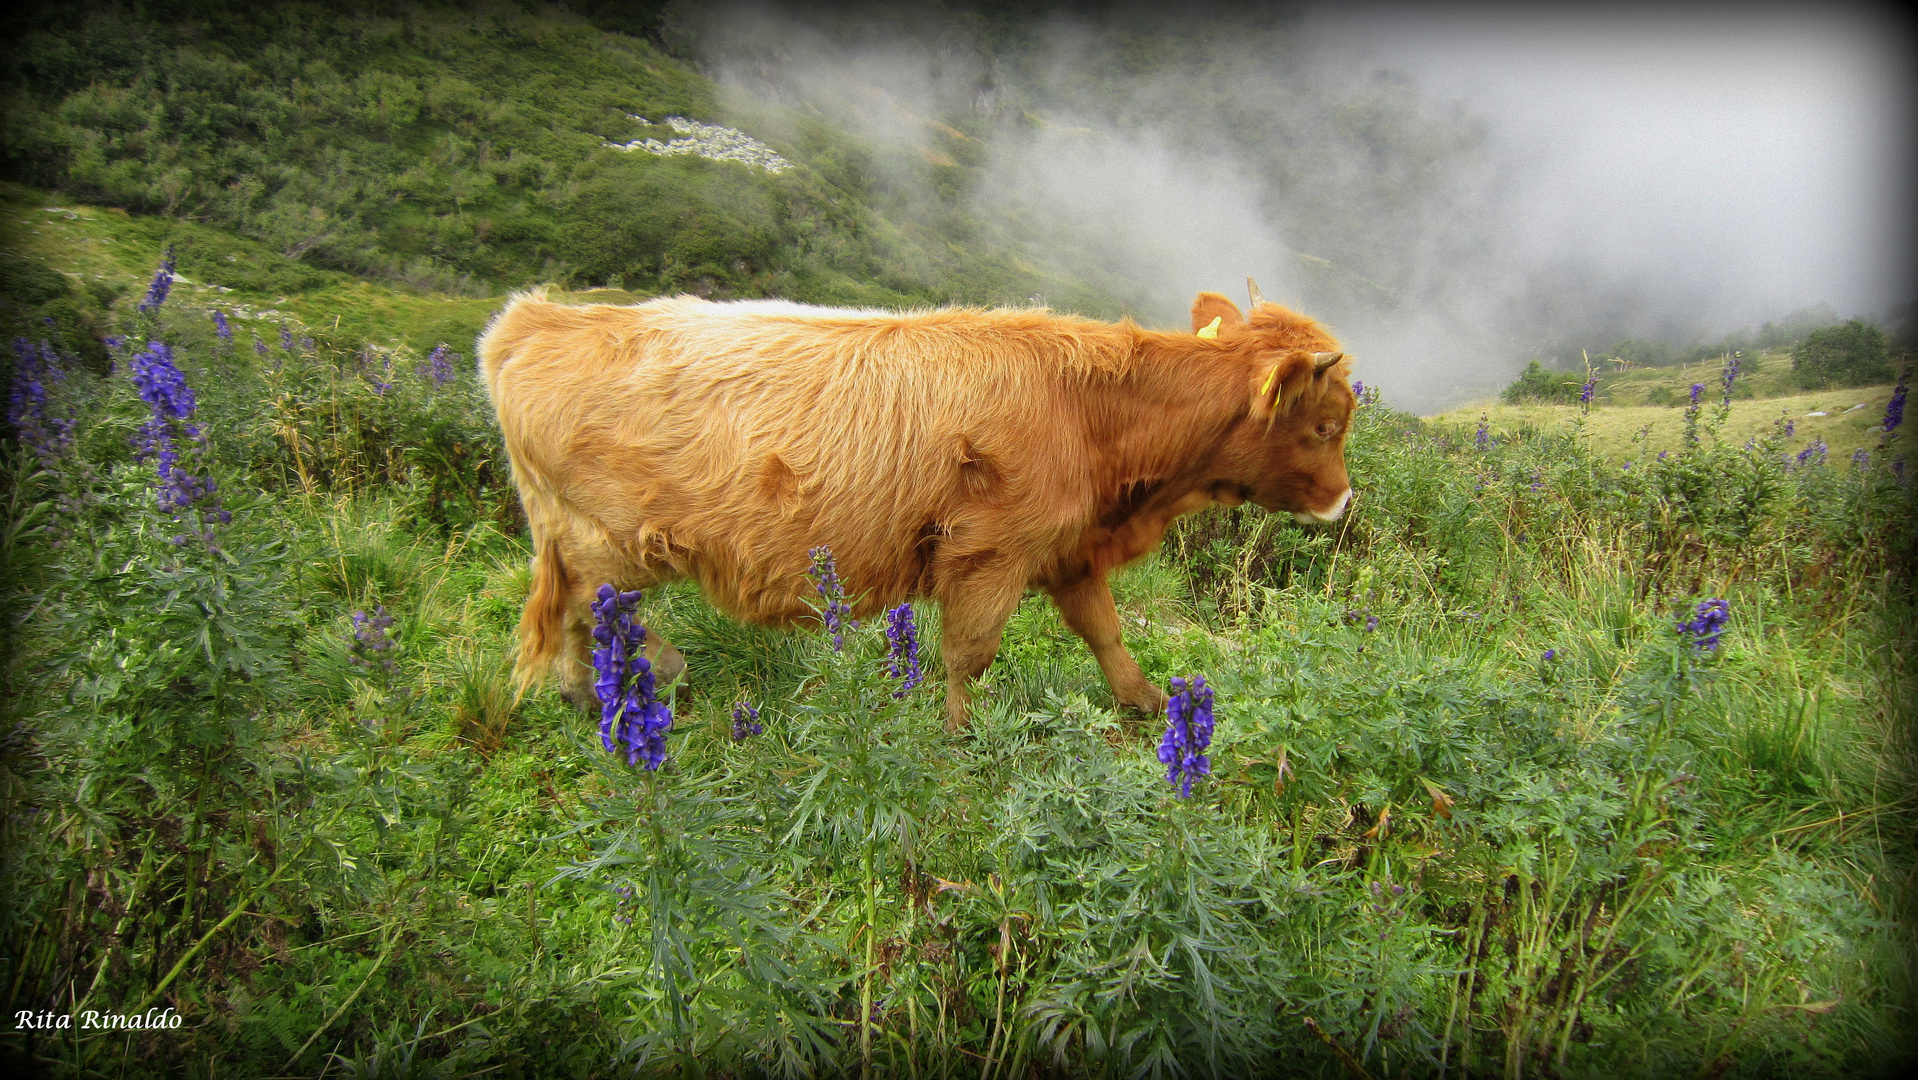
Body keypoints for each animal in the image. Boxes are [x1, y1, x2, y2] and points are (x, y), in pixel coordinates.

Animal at [477, 283, 1350, 732]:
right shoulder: (990, 555)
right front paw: (959, 738)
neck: (1090, 415)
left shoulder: (1066, 551)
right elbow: (969, 655)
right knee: (576, 607)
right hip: (606, 538)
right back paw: (630, 676)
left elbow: (1104, 632)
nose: (1343, 501)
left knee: (576, 612)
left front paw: (1147, 703)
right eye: (1325, 426)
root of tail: (537, 314)